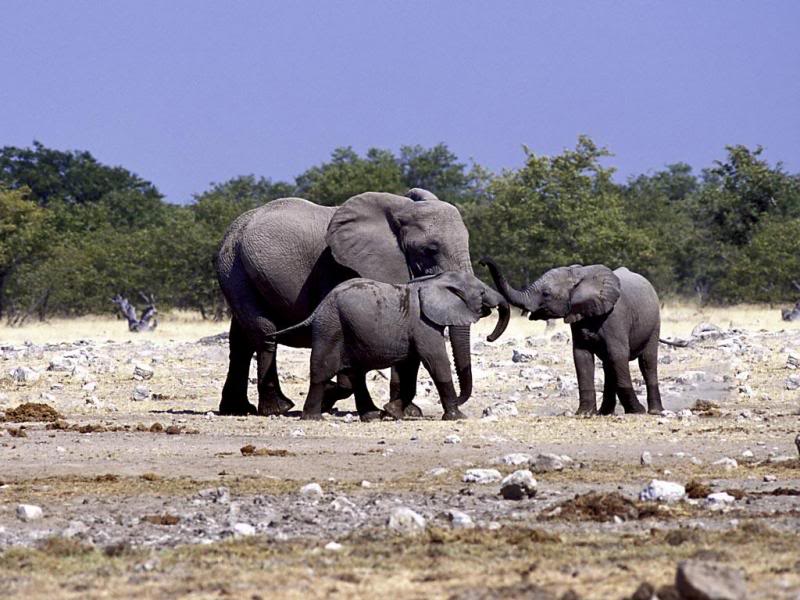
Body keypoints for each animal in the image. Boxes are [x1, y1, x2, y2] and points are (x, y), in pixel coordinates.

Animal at [267, 272, 510, 421]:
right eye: (481, 293)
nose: (489, 338)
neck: (434, 281)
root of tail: (318, 308)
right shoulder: (422, 323)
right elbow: (435, 360)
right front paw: (457, 417)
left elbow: (409, 367)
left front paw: (392, 412)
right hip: (330, 327)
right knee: (323, 370)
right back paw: (313, 417)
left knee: (355, 375)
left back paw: (372, 416)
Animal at [481, 258, 664, 416]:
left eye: (546, 293)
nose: (482, 262)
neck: (580, 275)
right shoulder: (577, 316)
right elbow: (581, 356)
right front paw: (584, 414)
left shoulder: (615, 317)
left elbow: (618, 355)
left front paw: (637, 411)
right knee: (609, 365)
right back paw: (605, 412)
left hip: (654, 322)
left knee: (646, 361)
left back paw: (654, 411)